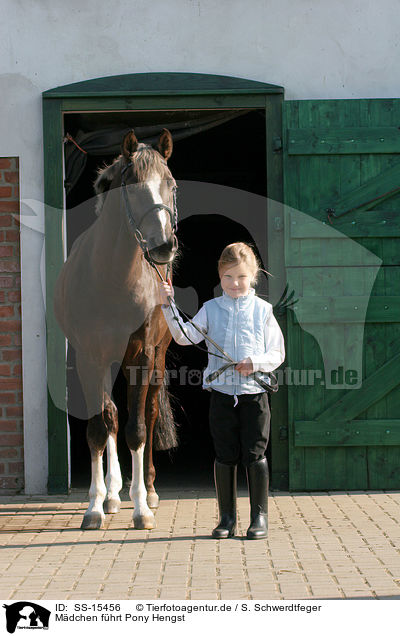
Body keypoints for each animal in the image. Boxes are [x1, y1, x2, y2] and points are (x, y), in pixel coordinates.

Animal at [54, 128, 178, 528]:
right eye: (134, 188)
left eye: (171, 184)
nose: (164, 246)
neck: (112, 278)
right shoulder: (89, 358)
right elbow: (99, 426)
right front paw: (95, 507)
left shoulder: (141, 357)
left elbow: (136, 429)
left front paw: (140, 509)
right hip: (108, 363)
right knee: (110, 417)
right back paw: (110, 495)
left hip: (156, 359)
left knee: (148, 414)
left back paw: (149, 491)